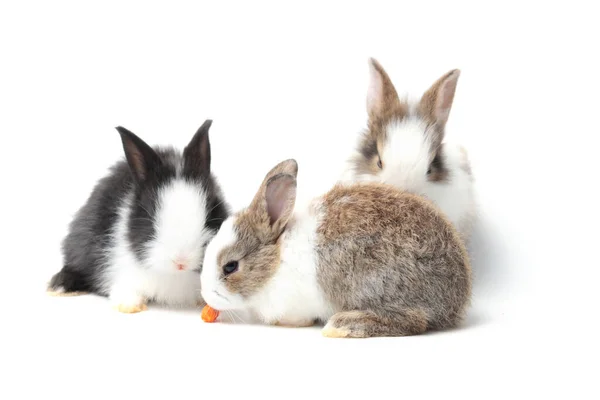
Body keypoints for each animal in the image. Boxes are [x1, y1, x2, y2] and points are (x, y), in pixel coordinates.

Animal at [199, 159, 472, 338]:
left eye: (230, 266)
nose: (206, 295)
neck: (276, 262)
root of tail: (457, 297)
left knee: (415, 321)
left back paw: (342, 326)